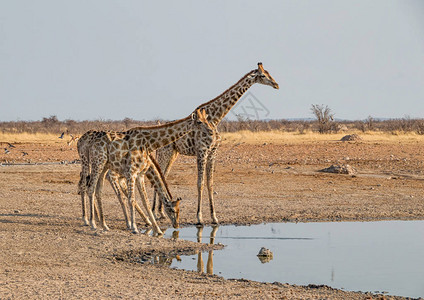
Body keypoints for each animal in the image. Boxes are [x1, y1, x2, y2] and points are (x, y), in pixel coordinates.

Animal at [83, 109, 214, 234]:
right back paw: (92, 223)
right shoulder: (131, 172)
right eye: (199, 122)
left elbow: (146, 201)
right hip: (97, 163)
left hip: (104, 167)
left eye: (206, 120)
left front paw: (158, 230)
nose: (211, 131)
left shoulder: (140, 174)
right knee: (90, 188)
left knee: (98, 190)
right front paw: (134, 228)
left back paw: (104, 225)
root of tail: (91, 143)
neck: (148, 141)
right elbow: (132, 199)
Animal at [154, 62, 280, 225]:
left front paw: (214, 217)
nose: (276, 85)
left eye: (269, 73)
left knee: (163, 176)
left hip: (173, 154)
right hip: (165, 152)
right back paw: (156, 212)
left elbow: (210, 183)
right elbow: (200, 183)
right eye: (263, 75)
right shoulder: (202, 151)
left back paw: (161, 212)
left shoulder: (213, 151)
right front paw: (199, 217)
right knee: (160, 176)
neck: (215, 118)